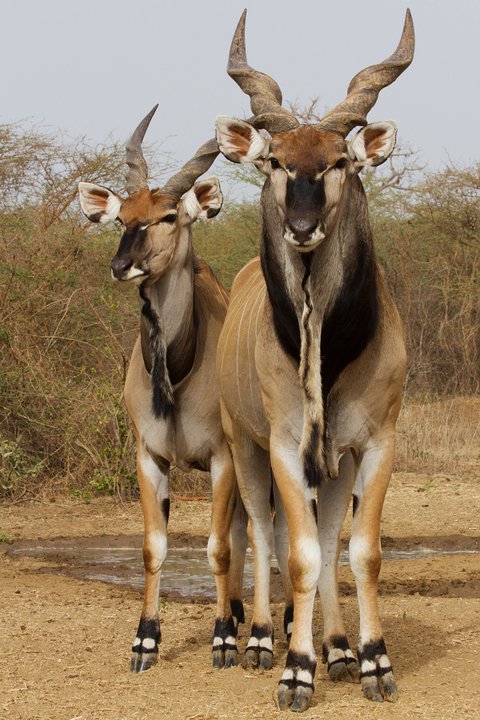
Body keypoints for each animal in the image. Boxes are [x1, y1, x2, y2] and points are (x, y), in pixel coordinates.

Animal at [78, 108, 248, 676]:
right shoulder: (149, 456)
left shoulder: (223, 458)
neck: (176, 370)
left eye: (169, 216)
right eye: (122, 218)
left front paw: (222, 638)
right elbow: (155, 547)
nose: (122, 265)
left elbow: (217, 547)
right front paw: (145, 640)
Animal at [216, 8, 414, 712]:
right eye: (275, 161)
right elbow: (295, 553)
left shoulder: (373, 443)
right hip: (243, 448)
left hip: (331, 466)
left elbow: (358, 552)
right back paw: (256, 640)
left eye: (339, 163)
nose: (302, 228)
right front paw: (294, 670)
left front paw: (371, 659)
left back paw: (336, 648)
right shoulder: (283, 444)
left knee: (327, 544)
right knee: (261, 534)